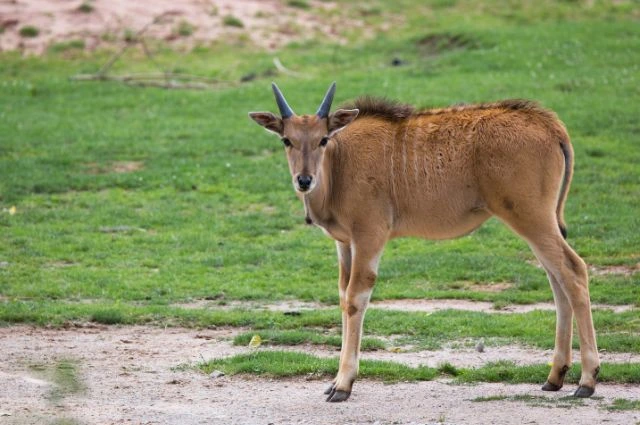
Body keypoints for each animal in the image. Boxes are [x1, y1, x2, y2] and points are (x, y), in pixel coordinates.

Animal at [249, 82, 600, 400]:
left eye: (323, 139)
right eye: (287, 140)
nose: (304, 180)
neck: (339, 164)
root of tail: (550, 125)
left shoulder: (370, 235)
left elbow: (355, 298)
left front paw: (343, 384)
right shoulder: (344, 243)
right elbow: (342, 295)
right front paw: (336, 380)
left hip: (532, 219)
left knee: (573, 271)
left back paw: (587, 380)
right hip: (536, 224)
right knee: (557, 278)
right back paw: (555, 376)